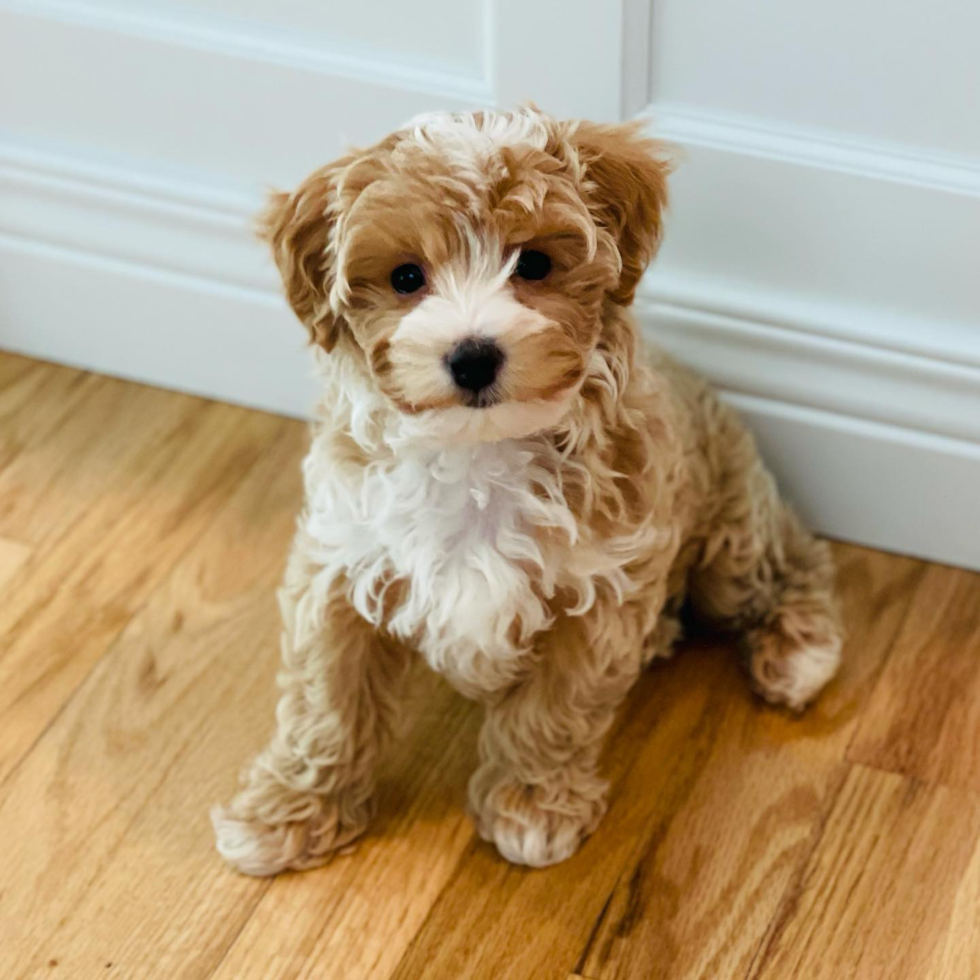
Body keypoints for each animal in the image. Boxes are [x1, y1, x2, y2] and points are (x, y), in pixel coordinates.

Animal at [212, 105, 844, 872]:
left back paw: (801, 653)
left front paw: (531, 806)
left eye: (535, 264)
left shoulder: (598, 588)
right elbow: (325, 703)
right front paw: (287, 813)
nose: (473, 355)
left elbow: (553, 711)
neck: (478, 451)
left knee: (791, 562)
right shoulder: (341, 560)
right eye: (405, 276)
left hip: (728, 525)